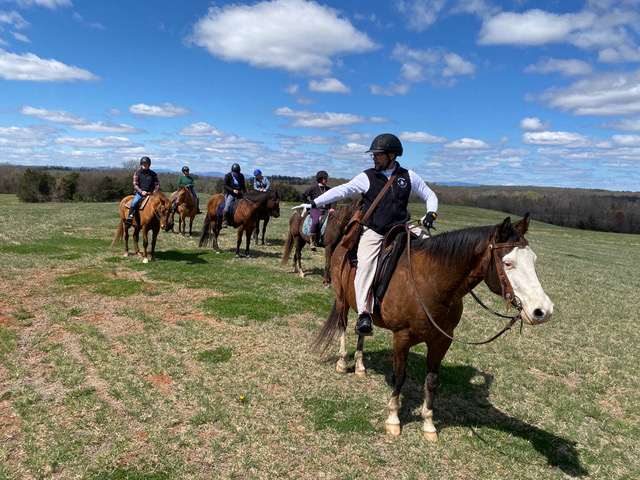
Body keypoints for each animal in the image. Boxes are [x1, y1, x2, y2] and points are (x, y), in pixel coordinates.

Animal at [312, 214, 552, 442]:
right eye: (508, 263)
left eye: (534, 260)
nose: (543, 310)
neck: (432, 283)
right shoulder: (402, 338)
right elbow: (399, 376)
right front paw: (393, 419)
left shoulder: (441, 341)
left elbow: (432, 381)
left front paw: (428, 424)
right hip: (341, 299)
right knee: (342, 327)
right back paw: (343, 363)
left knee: (362, 329)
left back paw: (361, 366)